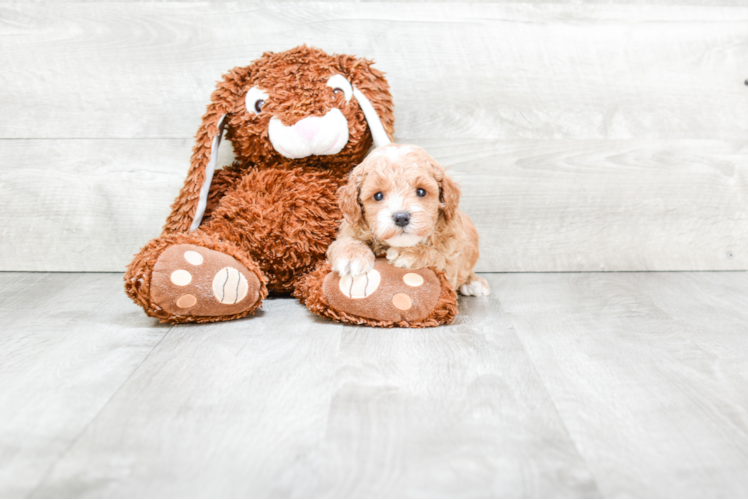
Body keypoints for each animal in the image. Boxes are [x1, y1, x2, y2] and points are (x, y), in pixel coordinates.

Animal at [328, 143, 490, 294]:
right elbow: (344, 242)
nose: (401, 218)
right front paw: (352, 256)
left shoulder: (451, 261)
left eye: (421, 191)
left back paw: (474, 282)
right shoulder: (349, 230)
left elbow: (439, 256)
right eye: (378, 195)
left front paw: (408, 253)